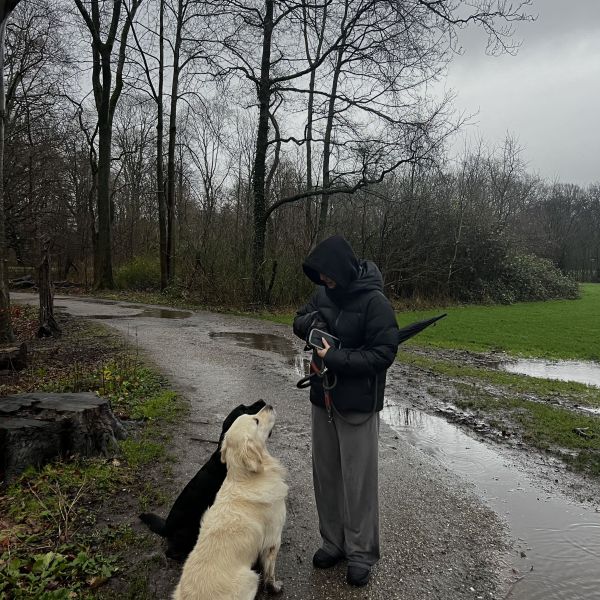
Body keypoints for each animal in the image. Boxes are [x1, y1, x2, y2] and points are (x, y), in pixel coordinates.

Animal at [171, 404, 288, 600]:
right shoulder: (273, 539)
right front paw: (275, 588)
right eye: (256, 420)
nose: (269, 405)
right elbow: (270, 573)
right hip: (250, 578)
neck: (245, 478)